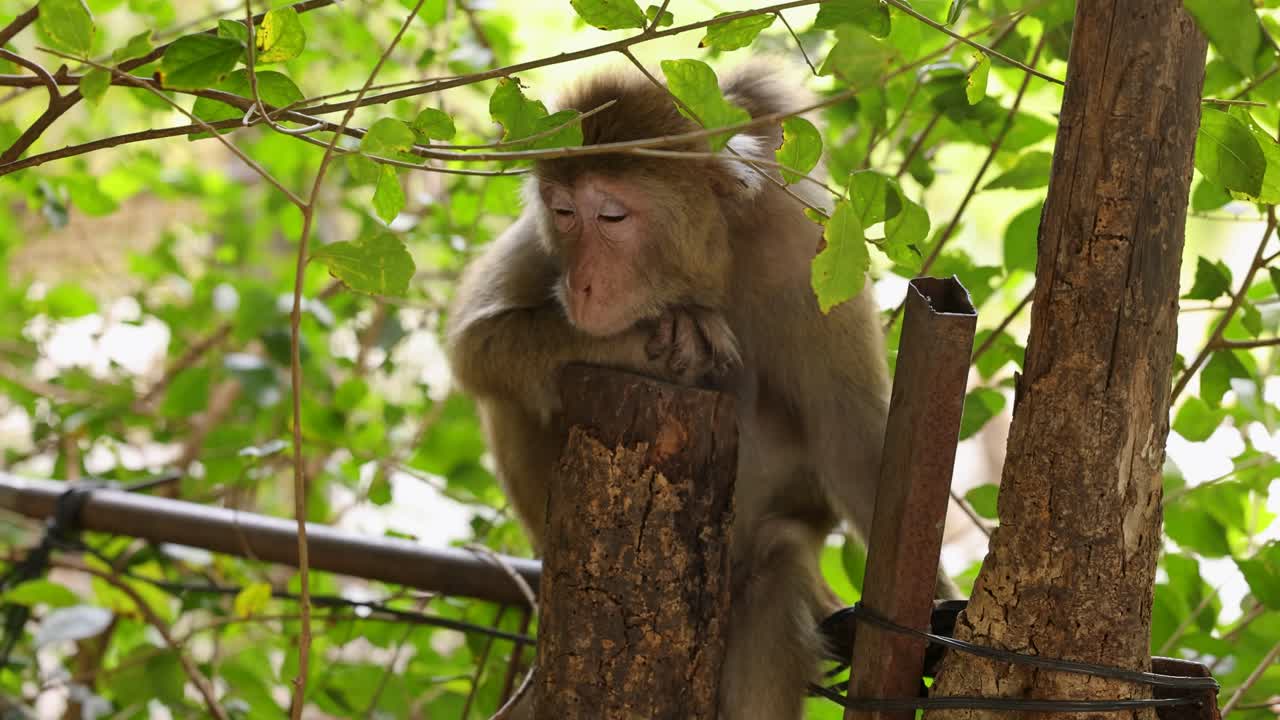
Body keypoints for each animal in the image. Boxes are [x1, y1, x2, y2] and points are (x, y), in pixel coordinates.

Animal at [445, 60, 951, 720]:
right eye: (563, 214)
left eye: (611, 217)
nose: (580, 284)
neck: (715, 257)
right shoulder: (538, 244)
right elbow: (474, 345)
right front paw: (664, 332)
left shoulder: (806, 248)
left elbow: (851, 436)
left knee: (777, 563)